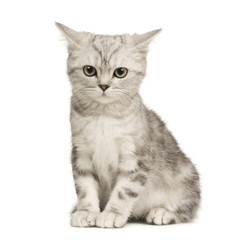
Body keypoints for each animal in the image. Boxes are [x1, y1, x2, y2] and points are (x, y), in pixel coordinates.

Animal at [56, 23, 201, 229]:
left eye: (120, 72)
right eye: (89, 70)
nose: (104, 86)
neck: (104, 115)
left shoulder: (137, 158)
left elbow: (124, 190)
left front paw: (112, 213)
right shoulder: (81, 151)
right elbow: (84, 186)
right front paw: (86, 211)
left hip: (186, 176)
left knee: (188, 208)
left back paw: (162, 212)